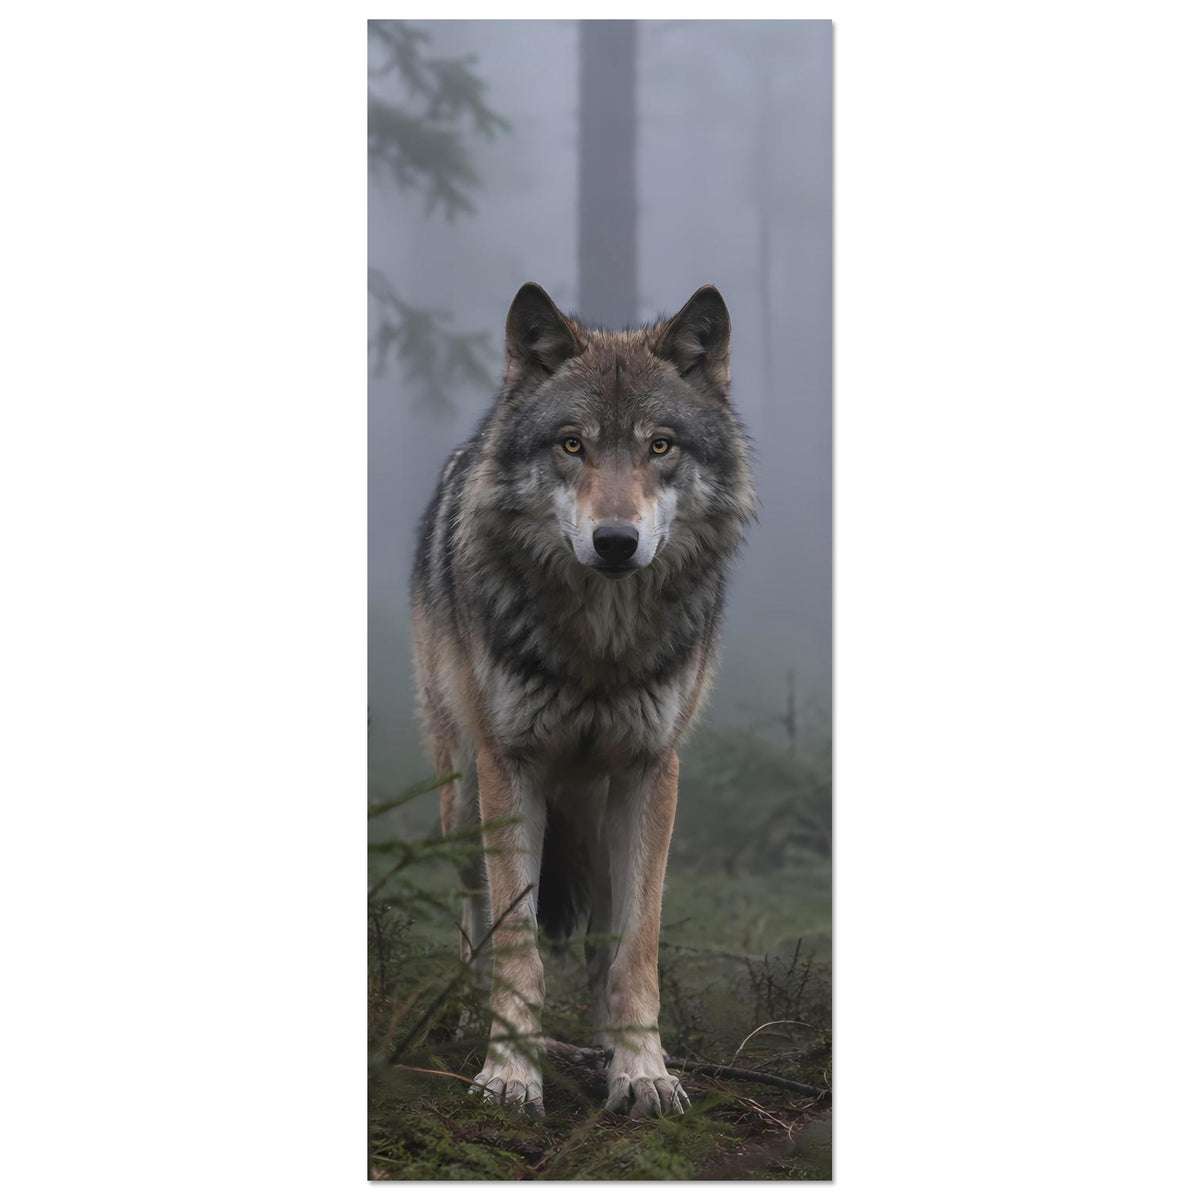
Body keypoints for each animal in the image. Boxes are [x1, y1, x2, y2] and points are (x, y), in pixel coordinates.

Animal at [411, 282, 754, 1118]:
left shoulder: (651, 770)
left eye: (661, 446)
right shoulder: (511, 766)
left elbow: (636, 950)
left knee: (602, 938)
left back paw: (605, 1047)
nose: (615, 542)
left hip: (597, 817)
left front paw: (643, 1070)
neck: (600, 645)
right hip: (462, 798)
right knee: (473, 920)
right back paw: (462, 1023)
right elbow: (517, 947)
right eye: (572, 445)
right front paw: (509, 1073)